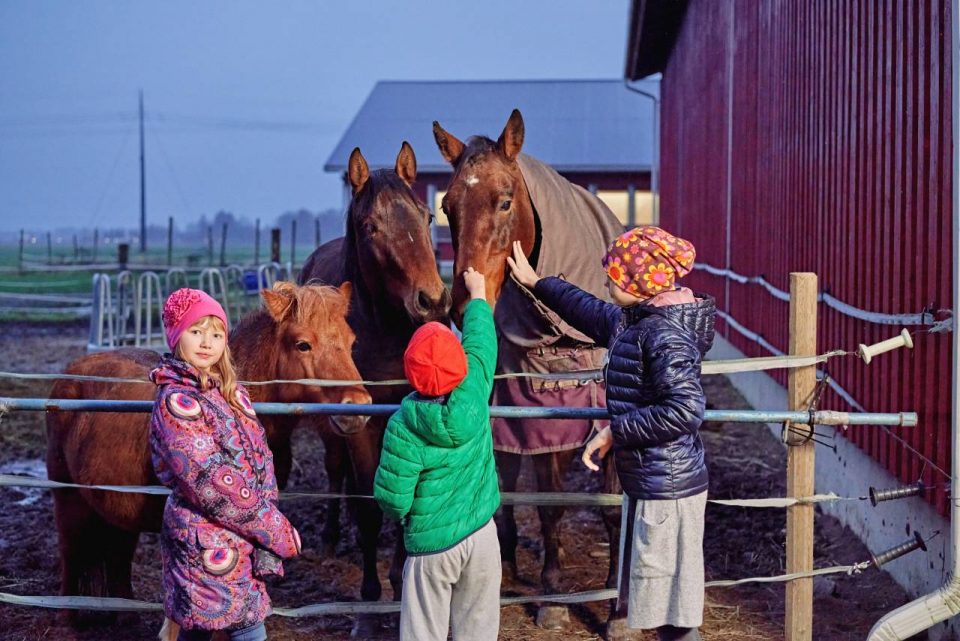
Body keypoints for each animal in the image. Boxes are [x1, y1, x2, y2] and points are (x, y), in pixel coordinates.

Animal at [47, 282, 374, 624]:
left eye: (351, 341)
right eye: (303, 344)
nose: (358, 409)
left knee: (117, 558)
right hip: (67, 499)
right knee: (70, 553)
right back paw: (70, 618)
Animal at [436, 110, 632, 636]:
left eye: (505, 201)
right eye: (446, 206)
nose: (461, 305)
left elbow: (612, 509)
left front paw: (619, 608)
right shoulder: (540, 419)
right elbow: (550, 507)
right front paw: (552, 597)